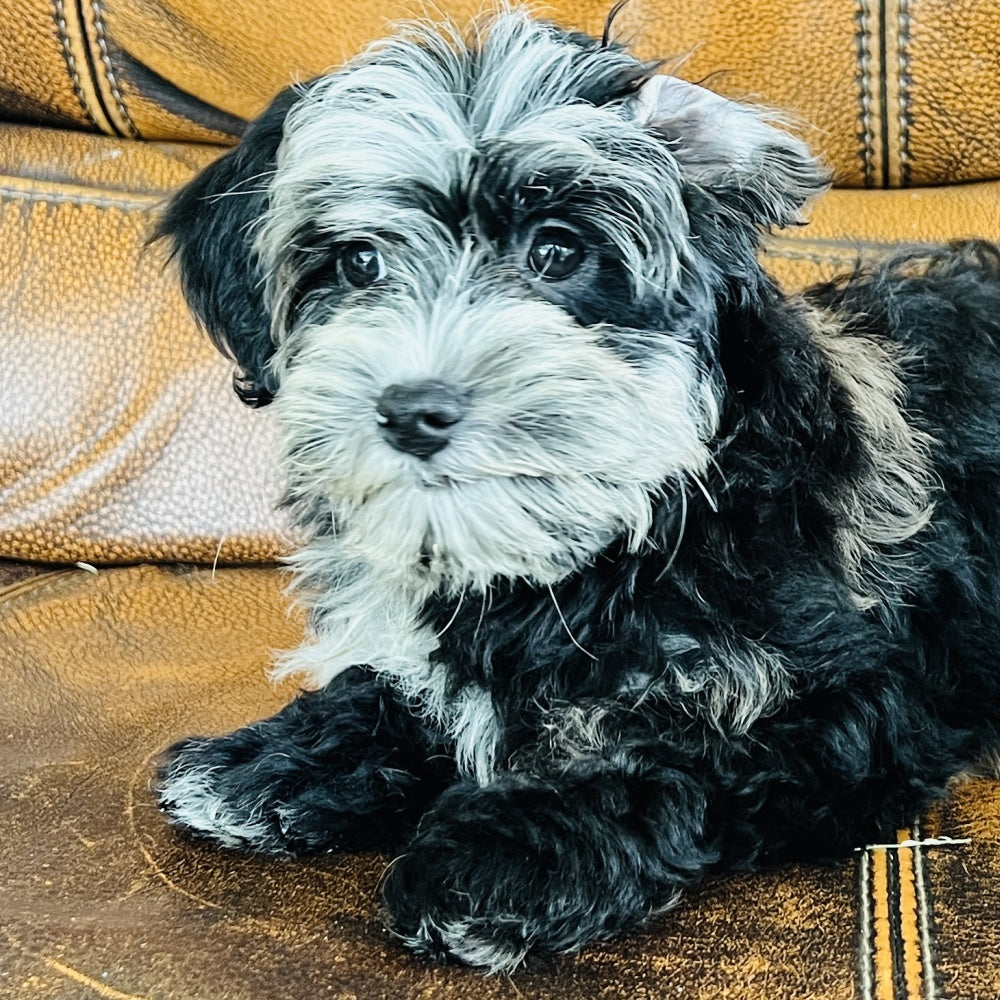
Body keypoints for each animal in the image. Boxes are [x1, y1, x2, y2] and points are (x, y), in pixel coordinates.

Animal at [152, 5, 1000, 976]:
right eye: (358, 263)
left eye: (556, 251)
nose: (413, 411)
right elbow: (397, 685)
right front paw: (271, 759)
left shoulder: (856, 696)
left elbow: (669, 752)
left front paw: (497, 857)